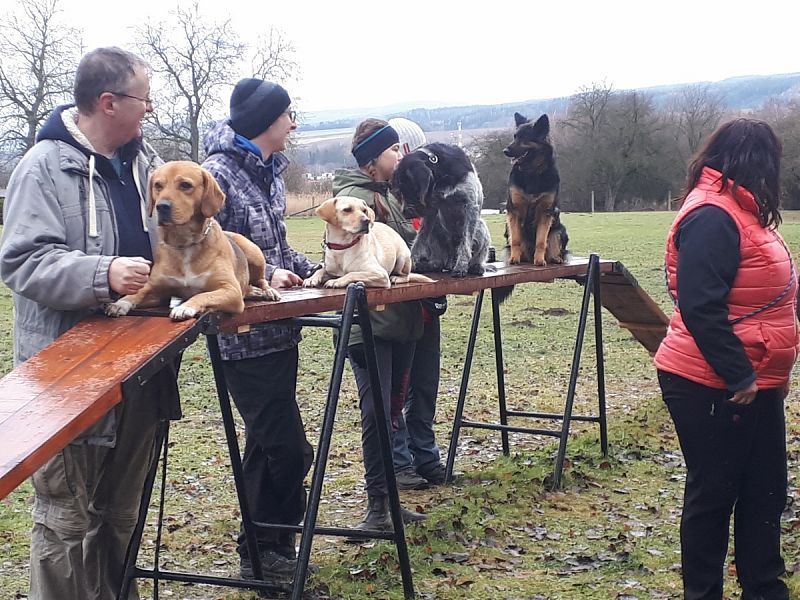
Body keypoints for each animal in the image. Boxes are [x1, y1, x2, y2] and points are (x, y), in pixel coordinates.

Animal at [105, 159, 282, 318]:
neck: (184, 243)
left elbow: (202, 294)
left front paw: (185, 307)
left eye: (185, 185)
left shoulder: (230, 290)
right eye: (158, 186)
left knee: (261, 279)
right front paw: (121, 302)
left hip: (253, 253)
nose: (161, 206)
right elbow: (139, 292)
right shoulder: (158, 291)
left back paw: (267, 291)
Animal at [304, 196, 434, 290]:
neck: (343, 247)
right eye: (347, 209)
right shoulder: (329, 268)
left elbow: (352, 274)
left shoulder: (380, 274)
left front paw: (336, 281)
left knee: (406, 276)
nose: (366, 221)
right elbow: (321, 269)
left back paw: (397, 278)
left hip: (402, 258)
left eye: (364, 210)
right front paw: (312, 278)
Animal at [390, 144, 490, 278]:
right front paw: (412, 261)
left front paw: (461, 266)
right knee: (439, 262)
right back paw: (431, 265)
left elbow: (465, 243)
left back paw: (476, 266)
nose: (405, 212)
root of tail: (449, 261)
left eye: (408, 187)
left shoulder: (470, 206)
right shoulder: (431, 211)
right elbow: (419, 240)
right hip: (436, 231)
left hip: (481, 227)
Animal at [504, 113, 564, 268]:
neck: (532, 172)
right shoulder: (514, 211)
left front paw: (539, 260)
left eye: (524, 138)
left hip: (559, 231)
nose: (505, 151)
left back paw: (555, 258)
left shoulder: (545, 212)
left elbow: (541, 241)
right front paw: (514, 258)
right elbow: (515, 240)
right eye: (514, 136)